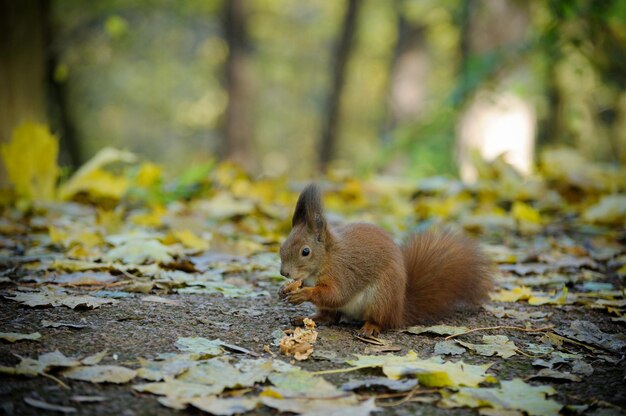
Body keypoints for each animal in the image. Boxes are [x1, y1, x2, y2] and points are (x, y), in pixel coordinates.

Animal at [278, 184, 492, 336]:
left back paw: (370, 327)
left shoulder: (342, 273)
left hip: (381, 297)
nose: (284, 272)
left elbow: (335, 294)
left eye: (305, 251)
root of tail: (399, 310)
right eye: (282, 246)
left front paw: (303, 293)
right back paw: (308, 318)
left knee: (381, 321)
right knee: (330, 317)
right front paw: (284, 290)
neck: (326, 259)